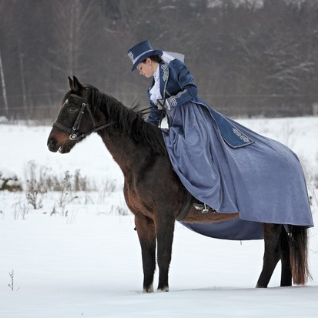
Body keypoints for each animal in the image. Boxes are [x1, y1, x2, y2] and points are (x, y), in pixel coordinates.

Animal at [47, 76, 310, 292]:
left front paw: (163, 290)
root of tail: (292, 156)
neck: (144, 160)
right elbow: (147, 260)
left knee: (272, 254)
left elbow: (163, 255)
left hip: (270, 221)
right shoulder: (143, 218)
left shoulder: (164, 216)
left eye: (72, 106)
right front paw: (148, 291)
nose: (51, 142)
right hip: (275, 219)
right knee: (285, 253)